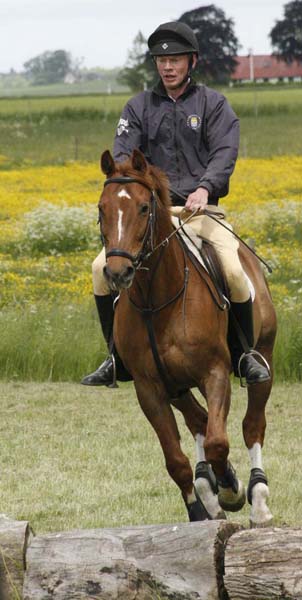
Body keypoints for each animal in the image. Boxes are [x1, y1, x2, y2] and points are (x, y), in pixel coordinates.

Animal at [98, 149, 276, 524]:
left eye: (144, 208)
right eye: (102, 208)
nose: (118, 273)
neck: (156, 300)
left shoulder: (215, 373)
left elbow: (218, 443)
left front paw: (231, 489)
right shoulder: (150, 388)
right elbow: (177, 460)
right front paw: (200, 508)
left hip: (263, 358)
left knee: (251, 424)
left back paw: (257, 499)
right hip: (176, 385)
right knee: (199, 421)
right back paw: (208, 489)